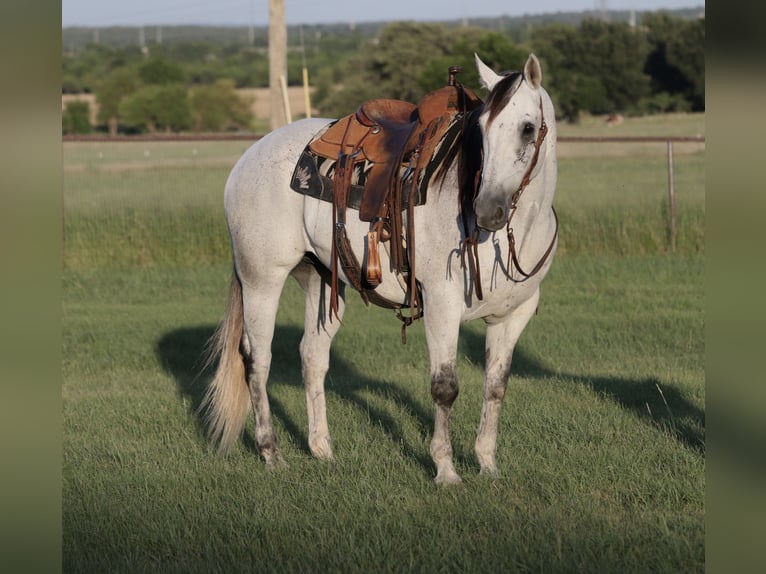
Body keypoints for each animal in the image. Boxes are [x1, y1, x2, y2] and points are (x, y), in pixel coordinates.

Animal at [201, 53, 559, 484]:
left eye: (527, 128)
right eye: (483, 131)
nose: (489, 210)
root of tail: (249, 156)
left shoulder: (515, 314)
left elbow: (495, 386)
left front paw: (487, 465)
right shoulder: (442, 305)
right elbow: (445, 387)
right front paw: (446, 470)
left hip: (321, 280)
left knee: (312, 356)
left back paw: (323, 451)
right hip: (261, 279)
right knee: (257, 359)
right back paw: (271, 453)